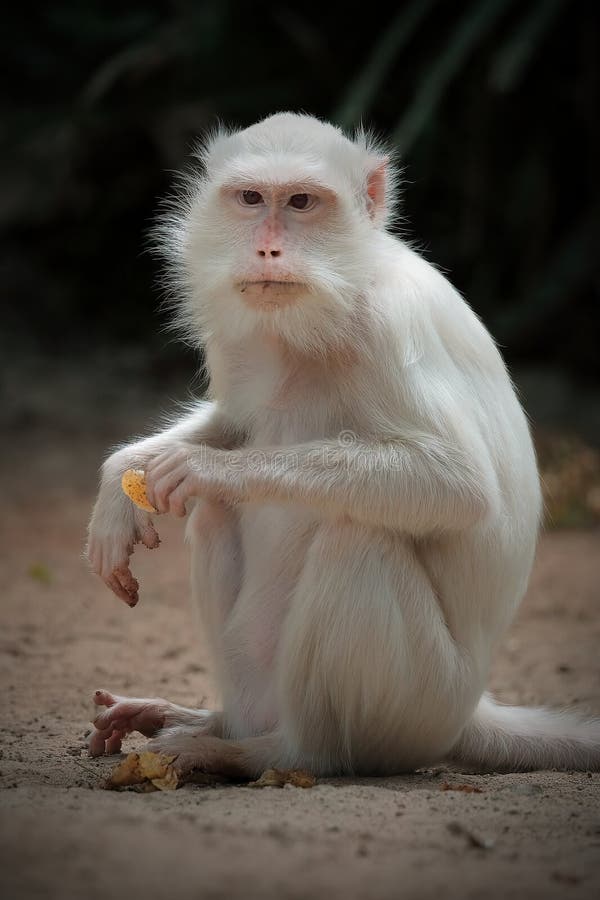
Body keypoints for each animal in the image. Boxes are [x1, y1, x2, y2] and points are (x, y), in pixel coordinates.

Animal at [85, 110, 600, 772]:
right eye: (251, 198)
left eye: (302, 203)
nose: (267, 248)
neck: (327, 305)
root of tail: (467, 717)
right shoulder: (243, 331)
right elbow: (234, 421)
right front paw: (122, 480)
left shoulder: (388, 325)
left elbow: (460, 484)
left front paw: (201, 467)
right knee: (220, 519)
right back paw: (215, 724)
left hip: (418, 709)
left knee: (357, 538)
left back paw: (278, 755)